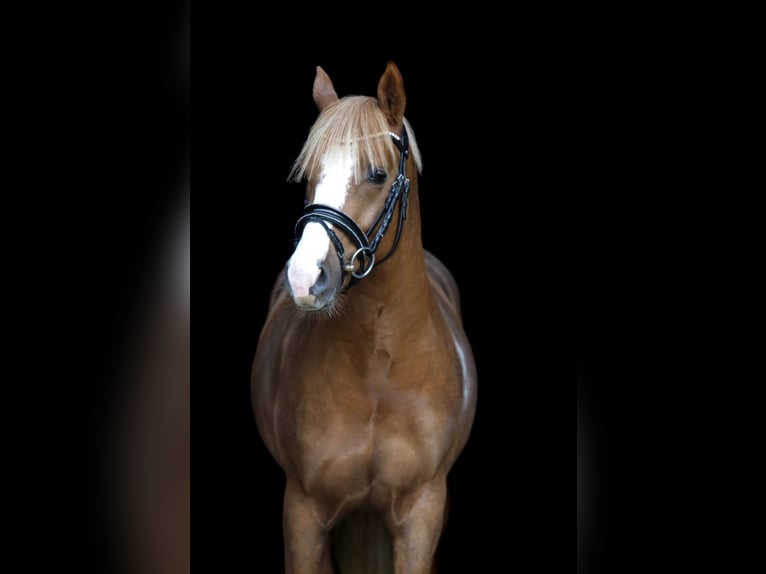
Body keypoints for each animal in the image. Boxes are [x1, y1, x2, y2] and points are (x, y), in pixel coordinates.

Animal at [251, 61, 478, 574]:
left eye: (376, 174)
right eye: (310, 174)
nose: (304, 277)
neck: (379, 363)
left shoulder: (422, 515)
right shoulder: (303, 515)